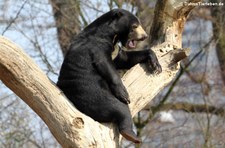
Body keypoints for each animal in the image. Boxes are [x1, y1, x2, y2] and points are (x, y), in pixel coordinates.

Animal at [56, 8, 162, 143]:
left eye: (138, 25)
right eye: (135, 26)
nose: (144, 36)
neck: (112, 36)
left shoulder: (115, 50)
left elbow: (125, 58)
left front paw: (156, 65)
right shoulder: (97, 46)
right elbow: (105, 64)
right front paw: (123, 93)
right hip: (91, 94)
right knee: (120, 108)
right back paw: (132, 135)